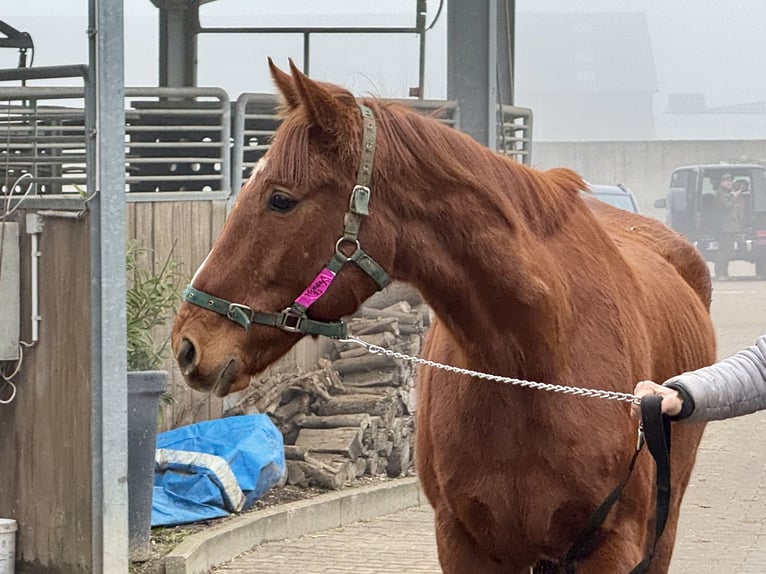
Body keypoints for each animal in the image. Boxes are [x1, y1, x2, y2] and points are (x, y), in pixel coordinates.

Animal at [171, 60, 716, 572]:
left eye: (280, 199)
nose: (187, 343)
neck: (535, 364)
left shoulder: (614, 546)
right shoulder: (463, 543)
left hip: (661, 531)